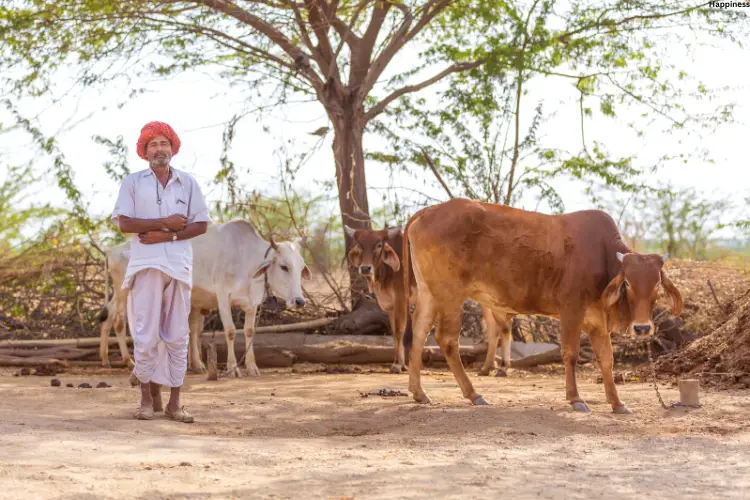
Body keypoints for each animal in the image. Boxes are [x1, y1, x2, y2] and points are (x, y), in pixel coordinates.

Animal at [100, 221, 312, 376]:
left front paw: (252, 367)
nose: (299, 301)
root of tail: (112, 250)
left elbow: (249, 332)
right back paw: (128, 361)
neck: (247, 259)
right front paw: (232, 368)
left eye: (301, 267)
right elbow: (230, 331)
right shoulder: (223, 296)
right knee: (119, 320)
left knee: (108, 316)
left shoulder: (252, 303)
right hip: (124, 289)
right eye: (284, 266)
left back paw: (106, 359)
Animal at [348, 227, 516, 376]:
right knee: (493, 328)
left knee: (505, 327)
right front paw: (402, 364)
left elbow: (400, 332)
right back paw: (486, 368)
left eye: (379, 245)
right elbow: (396, 333)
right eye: (360, 245)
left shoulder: (401, 298)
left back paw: (503, 367)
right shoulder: (391, 306)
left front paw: (398, 365)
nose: (365, 268)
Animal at [406, 199, 688, 414]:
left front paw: (617, 403)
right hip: (451, 295)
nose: (642, 328)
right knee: (446, 339)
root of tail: (426, 212)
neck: (603, 255)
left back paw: (419, 392)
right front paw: (576, 399)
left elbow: (607, 360)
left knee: (419, 333)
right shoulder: (571, 310)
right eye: (627, 283)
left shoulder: (598, 323)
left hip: (428, 293)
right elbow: (570, 353)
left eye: (656, 284)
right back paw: (473, 394)